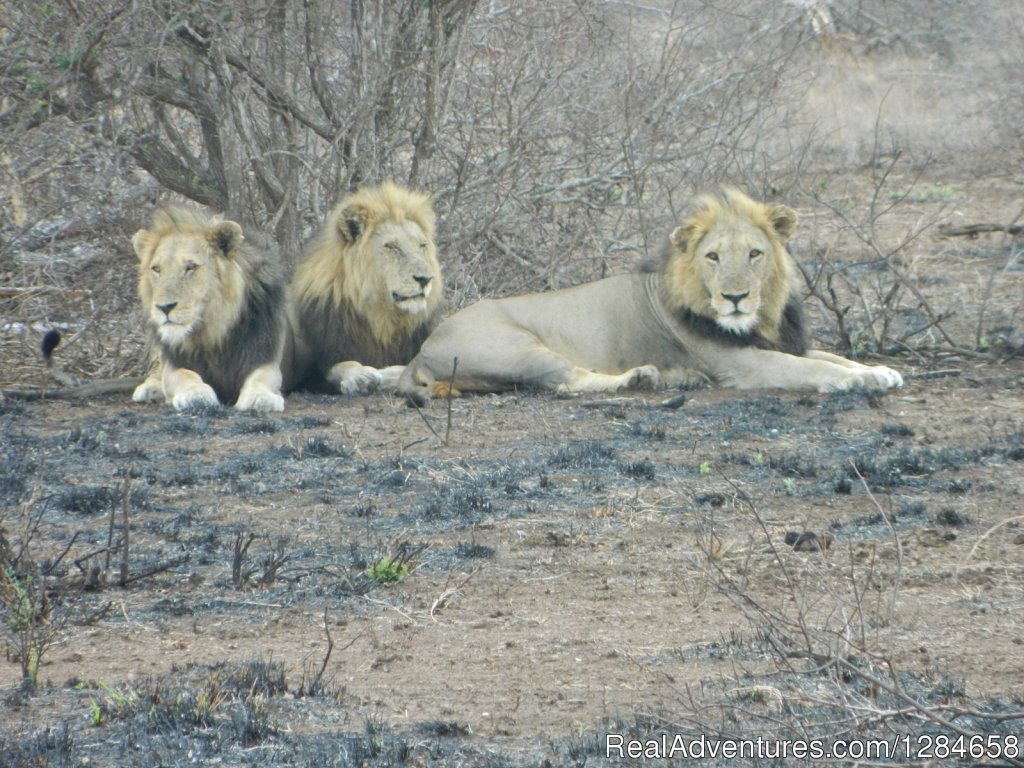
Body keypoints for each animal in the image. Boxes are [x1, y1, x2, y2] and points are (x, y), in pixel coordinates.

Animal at [131, 202, 288, 409]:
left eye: (191, 267)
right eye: (156, 269)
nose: (164, 307)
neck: (213, 330)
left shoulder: (264, 356)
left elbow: (262, 377)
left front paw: (259, 397)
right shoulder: (174, 364)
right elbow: (185, 376)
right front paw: (196, 394)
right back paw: (150, 388)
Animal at [282, 182, 442, 393]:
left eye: (422, 245)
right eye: (391, 247)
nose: (425, 279)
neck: (381, 319)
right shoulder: (320, 366)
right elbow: (342, 365)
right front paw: (361, 377)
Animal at [395, 187, 901, 405]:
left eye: (755, 254)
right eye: (713, 257)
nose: (735, 297)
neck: (762, 317)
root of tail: (420, 350)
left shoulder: (780, 341)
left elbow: (833, 356)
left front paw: (878, 372)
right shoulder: (741, 363)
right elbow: (811, 368)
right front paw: (855, 381)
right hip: (516, 350)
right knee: (568, 381)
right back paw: (642, 378)